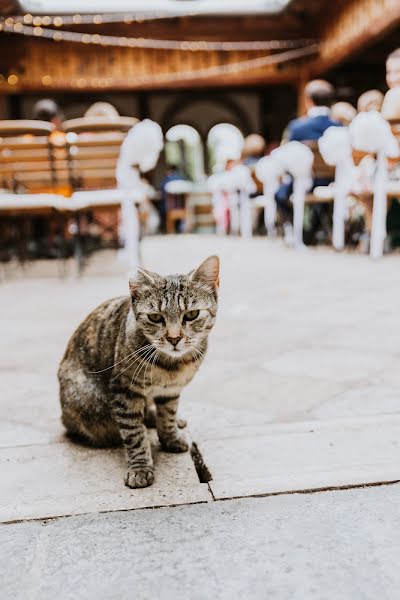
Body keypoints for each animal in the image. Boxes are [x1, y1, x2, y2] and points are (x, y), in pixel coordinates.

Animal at [58, 255, 219, 490]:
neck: (171, 366)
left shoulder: (171, 390)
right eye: (155, 317)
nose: (174, 338)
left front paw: (170, 437)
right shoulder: (124, 391)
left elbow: (167, 413)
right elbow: (134, 433)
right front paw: (140, 468)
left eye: (192, 314)